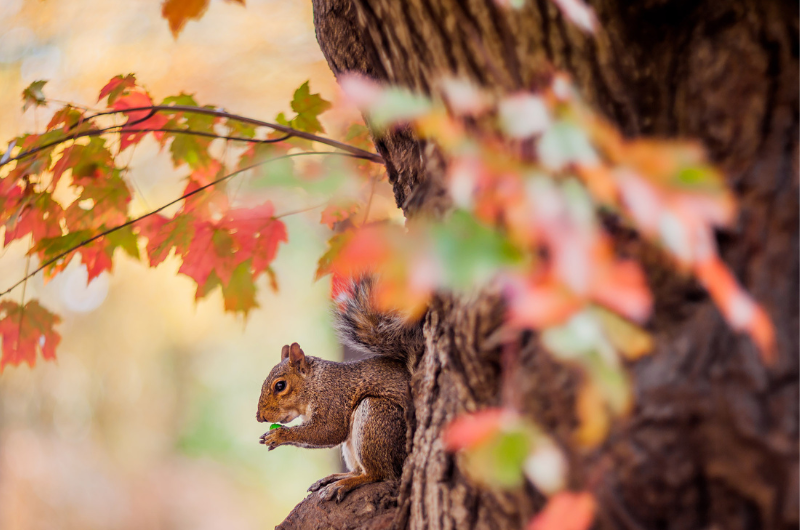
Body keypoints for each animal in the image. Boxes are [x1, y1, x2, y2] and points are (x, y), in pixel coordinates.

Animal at [256, 274, 424, 502]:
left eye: (280, 385)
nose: (260, 417)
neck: (315, 383)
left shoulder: (333, 399)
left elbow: (329, 431)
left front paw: (280, 436)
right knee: (359, 470)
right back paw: (336, 477)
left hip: (377, 418)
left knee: (378, 474)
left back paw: (345, 484)